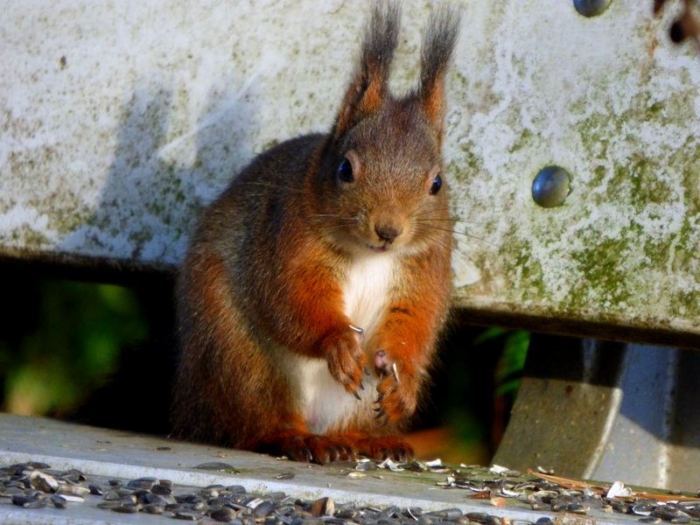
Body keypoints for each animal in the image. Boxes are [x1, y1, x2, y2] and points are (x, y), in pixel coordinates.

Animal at [171, 1, 460, 464]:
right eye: (345, 169)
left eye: (437, 183)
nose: (388, 230)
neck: (371, 256)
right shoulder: (287, 239)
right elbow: (291, 298)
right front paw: (337, 342)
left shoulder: (425, 266)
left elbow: (416, 318)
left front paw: (404, 384)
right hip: (240, 360)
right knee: (255, 423)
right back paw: (297, 438)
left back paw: (368, 440)